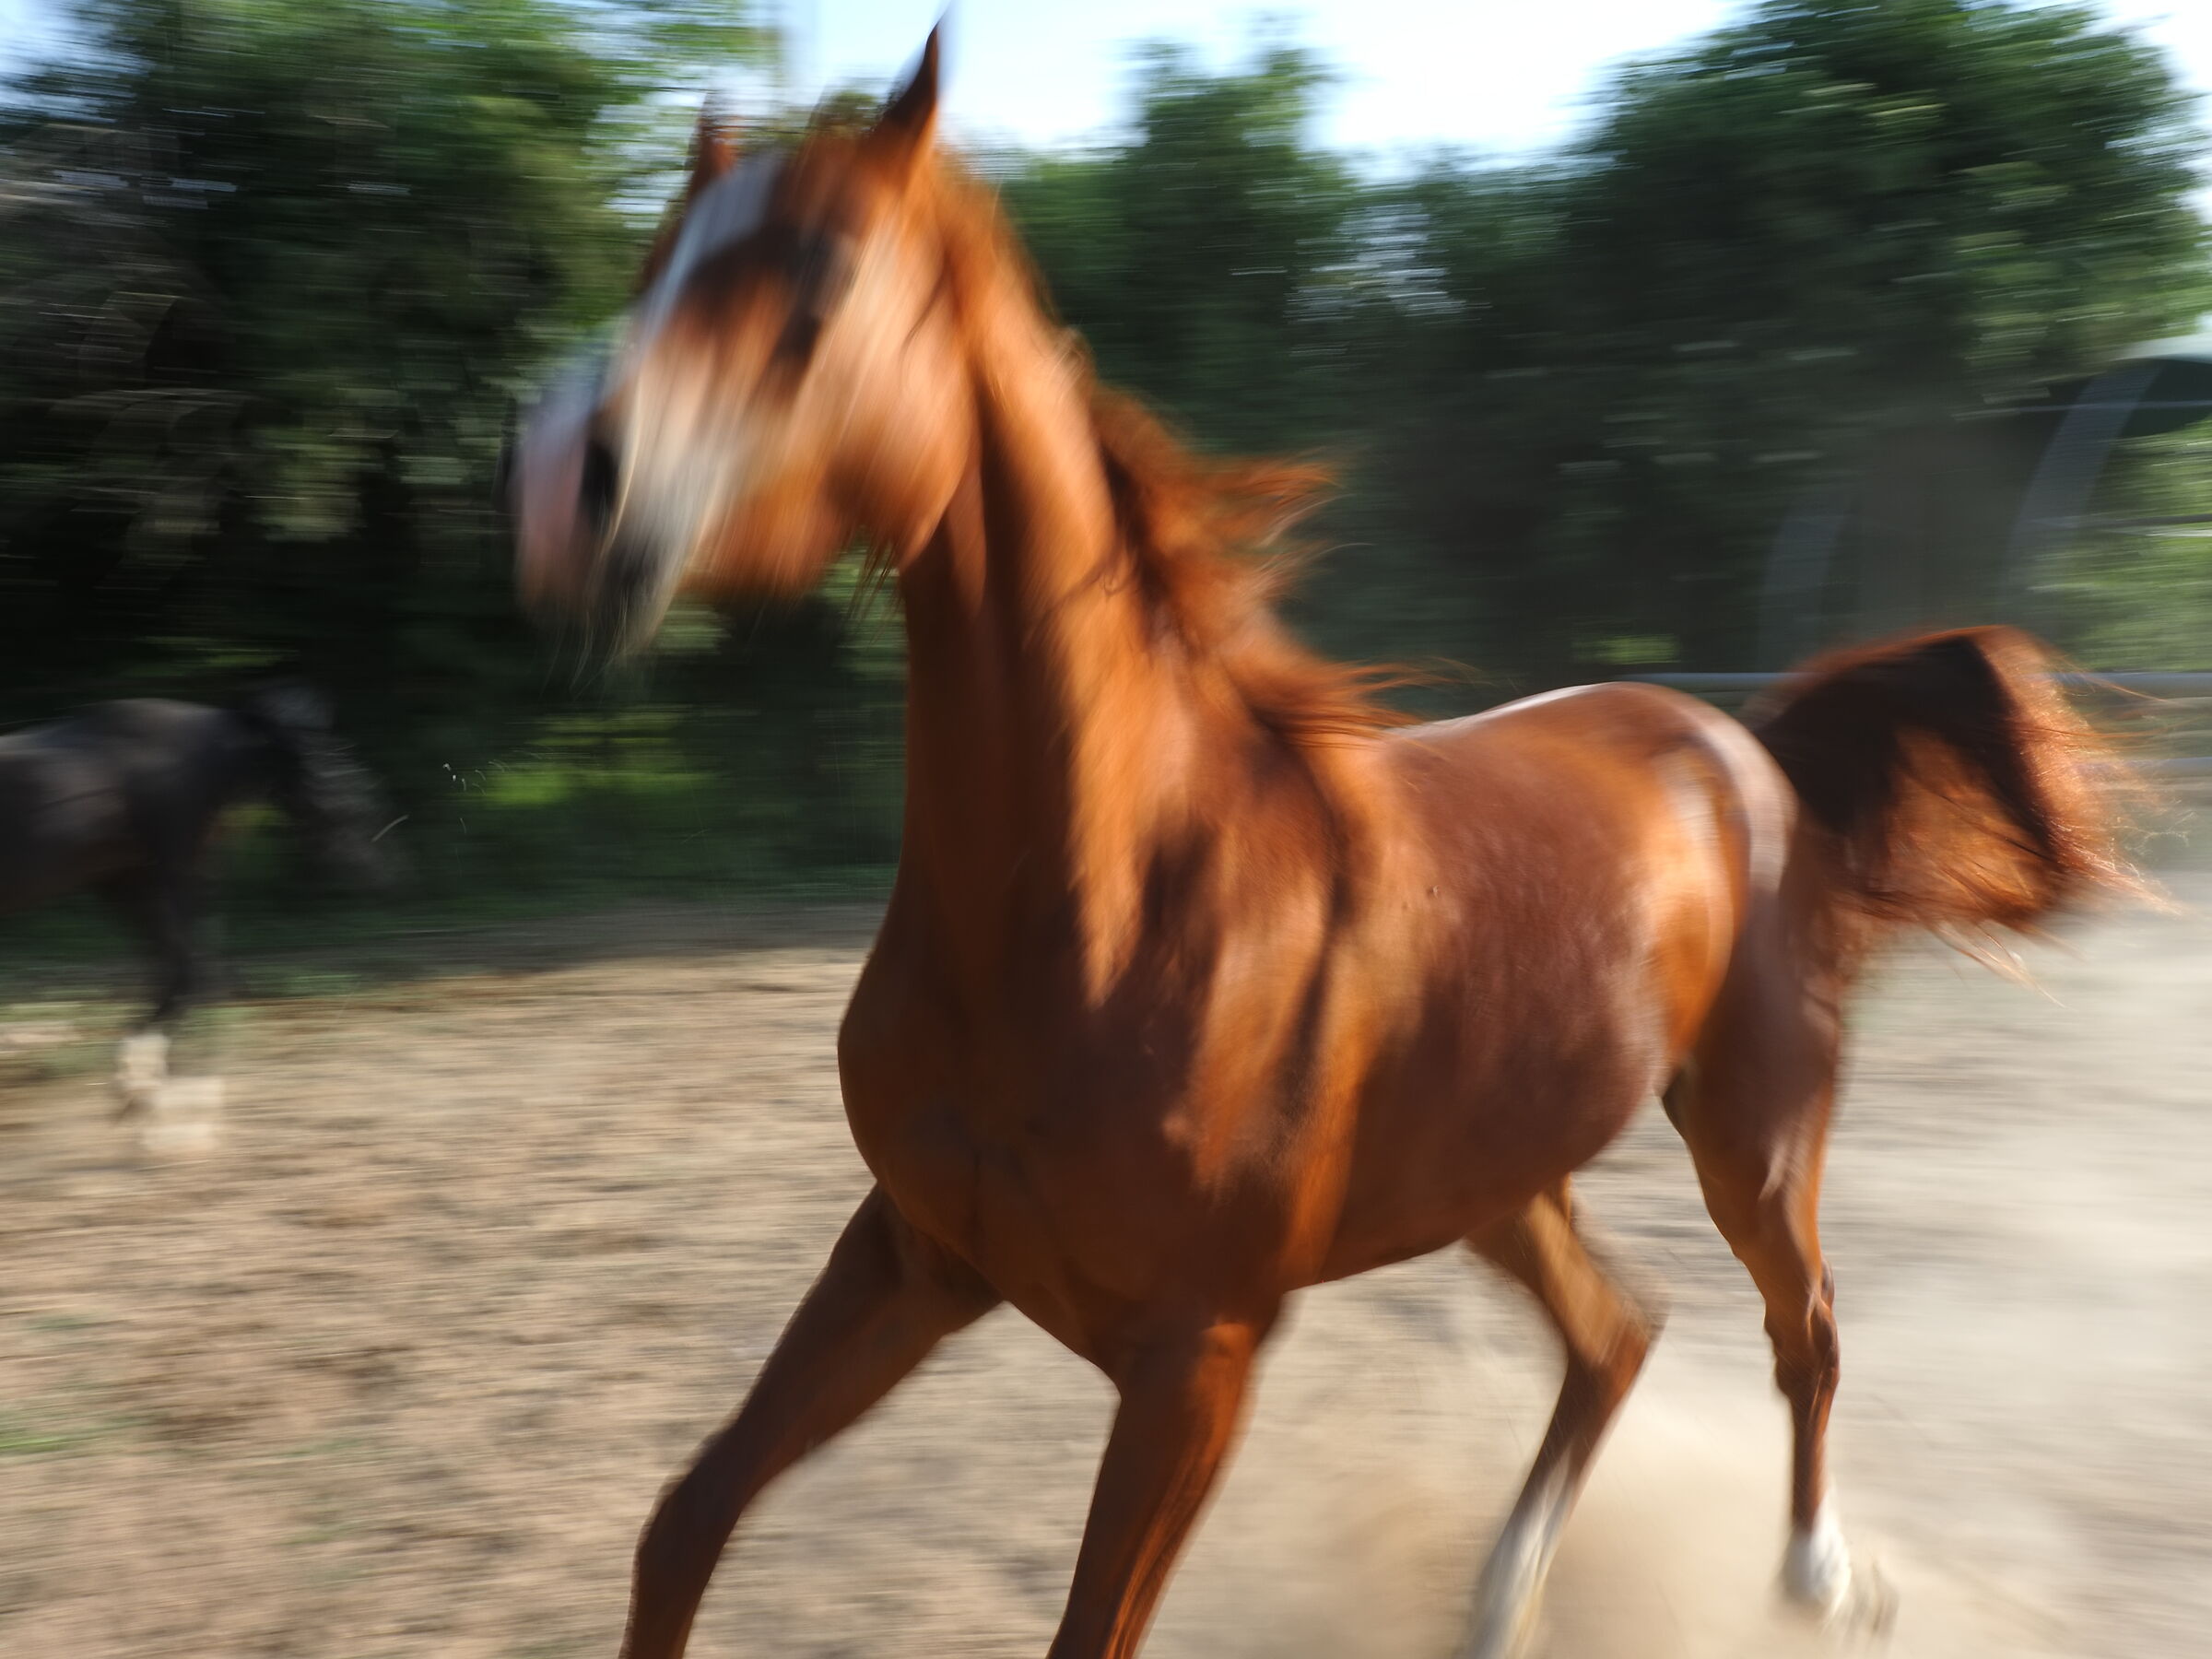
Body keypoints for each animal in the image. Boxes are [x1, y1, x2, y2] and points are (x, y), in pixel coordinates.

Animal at [508, 34, 2129, 1659]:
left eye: (822, 274)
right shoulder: (910, 1258)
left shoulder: (1195, 1361)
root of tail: (1753, 750)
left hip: (1754, 1133)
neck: (1106, 912)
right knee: (1617, 1329)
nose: (560, 486)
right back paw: (1500, 1604)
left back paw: (1819, 1580)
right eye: (656, 264)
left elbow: (1082, 1630)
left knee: (1808, 1330)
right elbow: (684, 1524)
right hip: (1498, 1177)